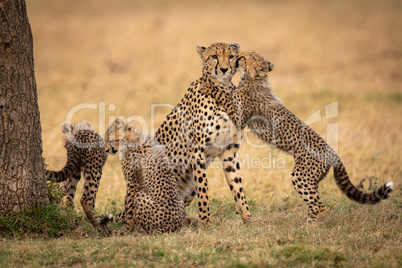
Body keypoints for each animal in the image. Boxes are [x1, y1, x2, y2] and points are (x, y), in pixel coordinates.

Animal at [203, 50, 394, 222]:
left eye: (246, 57)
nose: (238, 56)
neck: (254, 79)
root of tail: (334, 153)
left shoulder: (239, 115)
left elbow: (225, 97)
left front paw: (211, 84)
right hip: (311, 180)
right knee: (315, 203)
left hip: (301, 177)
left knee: (319, 205)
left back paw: (309, 226)